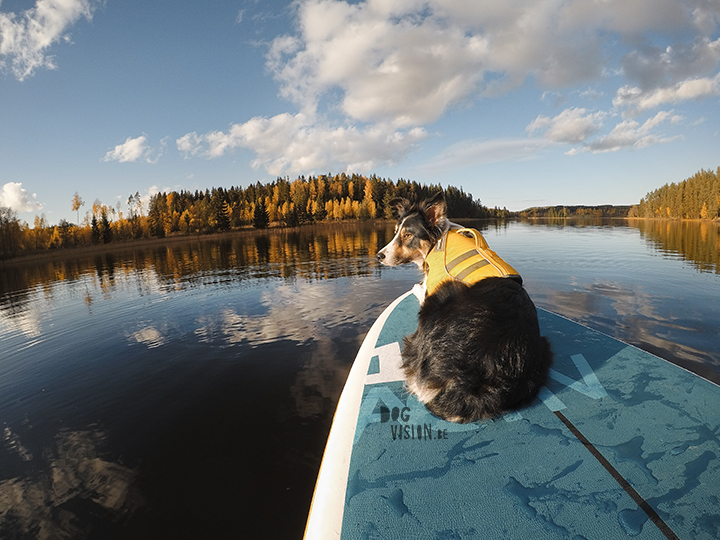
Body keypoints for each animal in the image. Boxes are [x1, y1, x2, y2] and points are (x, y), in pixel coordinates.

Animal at [376, 192, 552, 424]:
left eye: (407, 235)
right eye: (396, 232)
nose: (378, 256)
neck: (437, 241)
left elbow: (421, 289)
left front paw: (417, 287)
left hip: (443, 294)